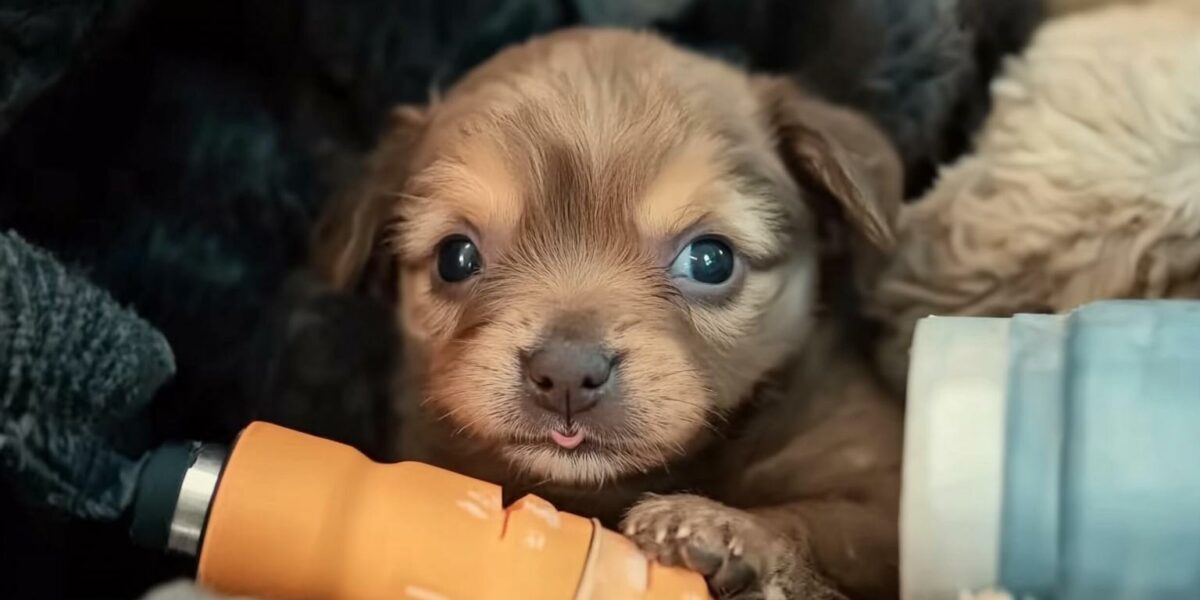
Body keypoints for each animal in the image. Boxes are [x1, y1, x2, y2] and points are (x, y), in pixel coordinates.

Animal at [316, 28, 902, 600]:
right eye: (454, 257)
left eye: (711, 260)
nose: (567, 373)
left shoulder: (875, 486)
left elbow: (827, 521)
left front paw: (721, 527)